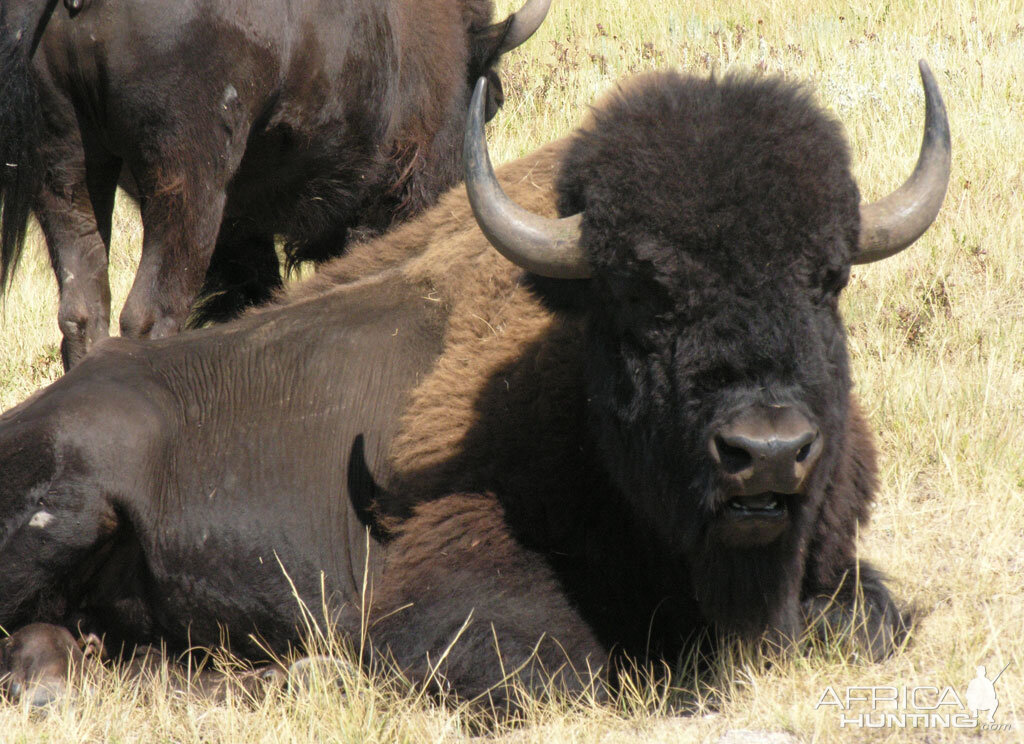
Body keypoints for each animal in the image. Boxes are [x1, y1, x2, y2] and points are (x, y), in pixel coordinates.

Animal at [0, 0, 552, 370]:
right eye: (491, 103)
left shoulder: (242, 228)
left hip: (65, 170)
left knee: (82, 311)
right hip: (188, 185)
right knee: (150, 314)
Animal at [0, 61, 946, 708]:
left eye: (827, 279)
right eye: (640, 295)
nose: (768, 451)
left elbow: (872, 617)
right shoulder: (455, 596)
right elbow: (573, 667)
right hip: (73, 499)